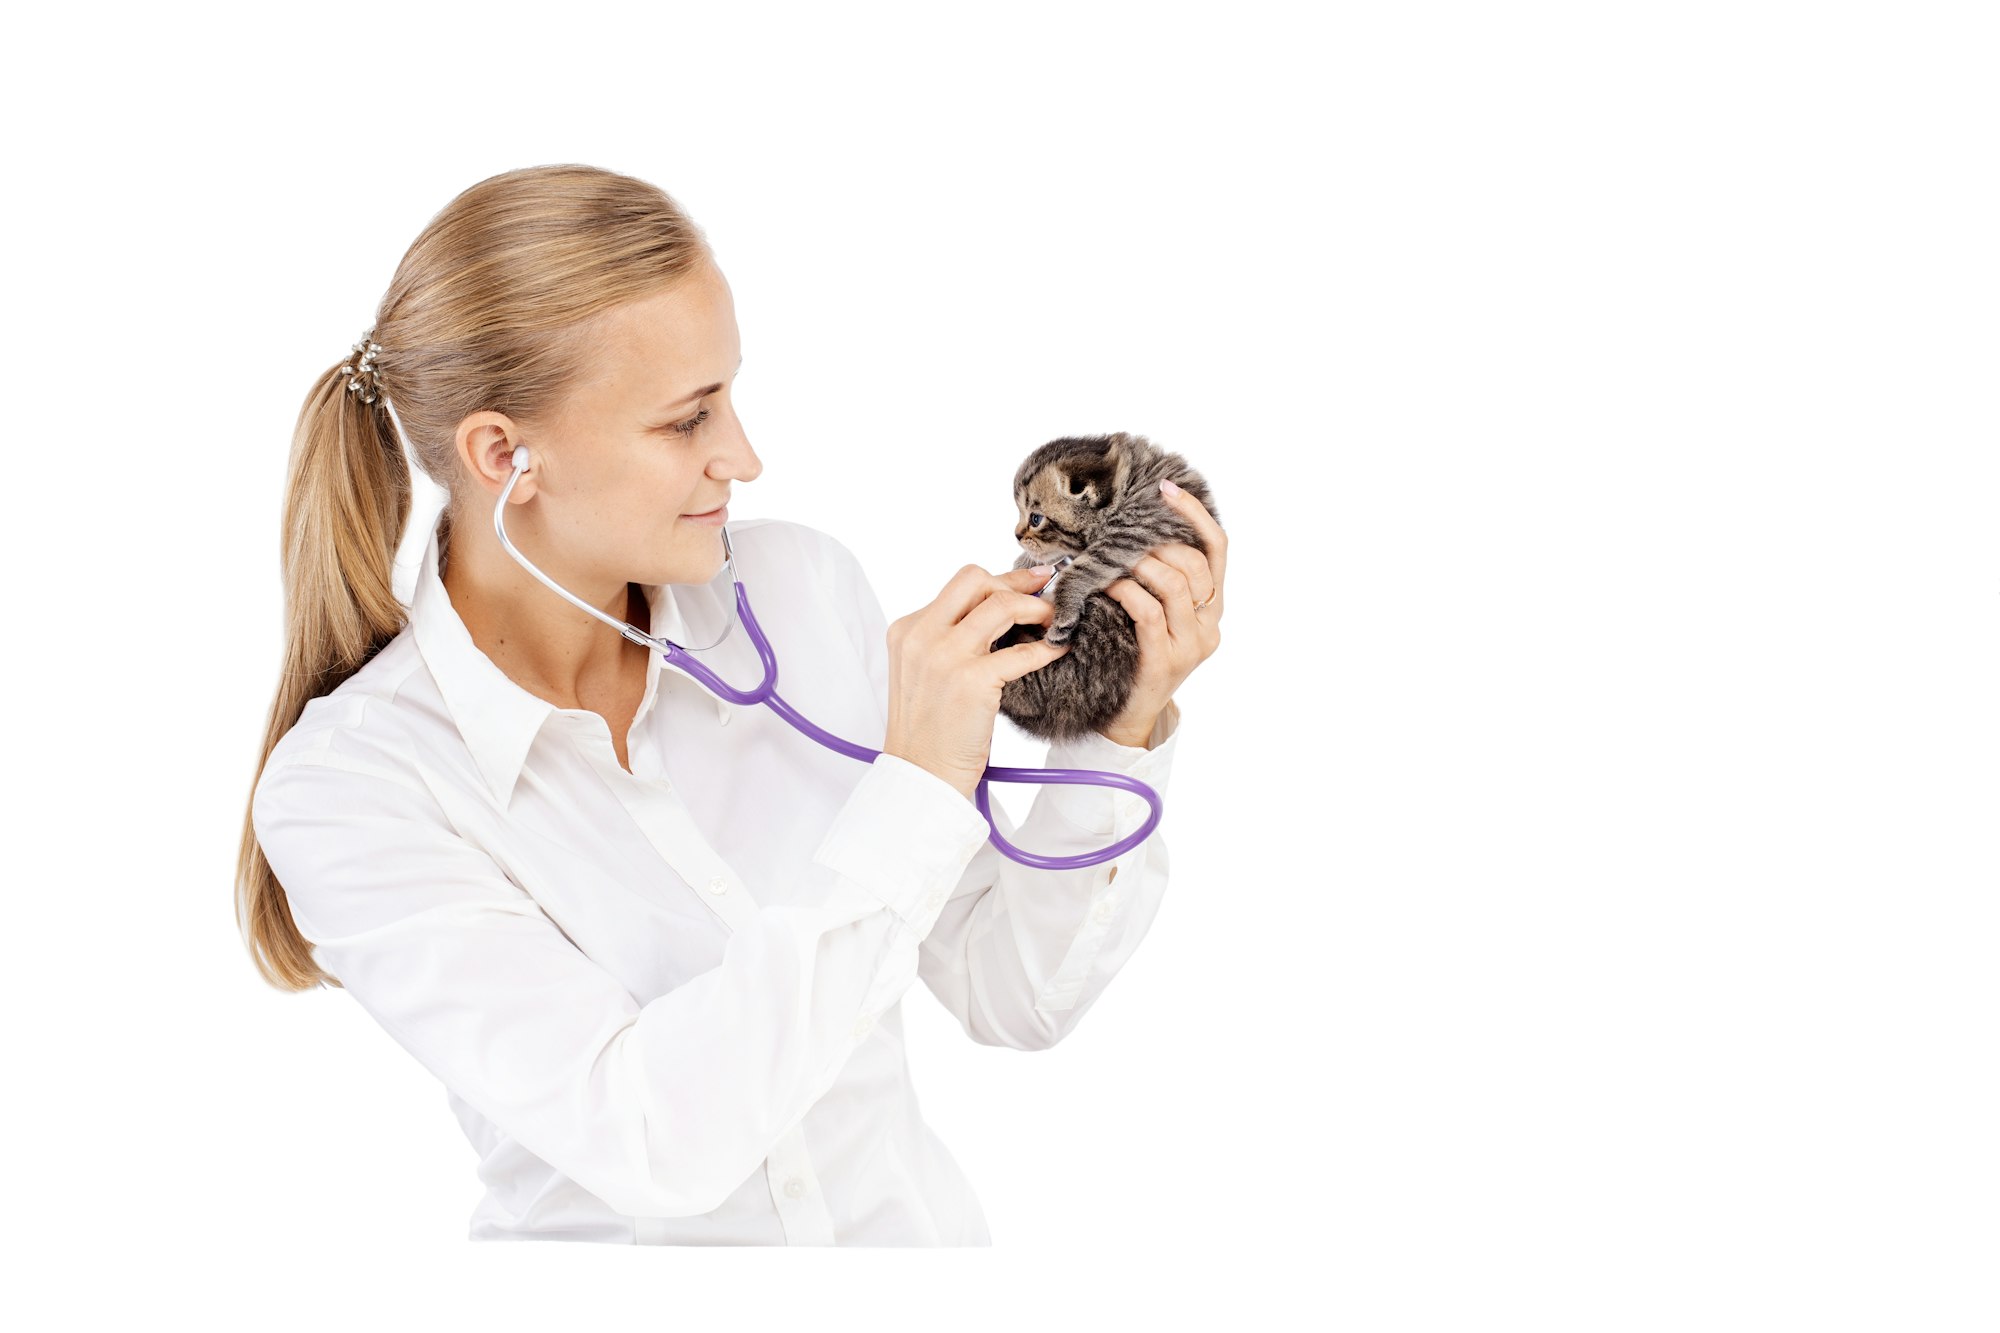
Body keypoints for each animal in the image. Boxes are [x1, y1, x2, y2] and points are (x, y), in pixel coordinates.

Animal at [996, 430, 1216, 740]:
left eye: (1035, 518)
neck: (1128, 486)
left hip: (1104, 627)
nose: (1016, 535)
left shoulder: (1138, 527)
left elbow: (1084, 566)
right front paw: (1025, 563)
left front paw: (1065, 601)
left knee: (1056, 692)